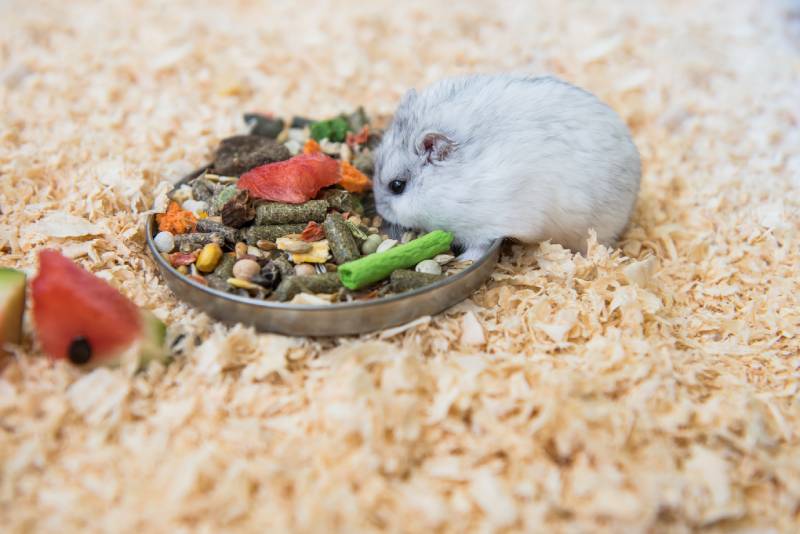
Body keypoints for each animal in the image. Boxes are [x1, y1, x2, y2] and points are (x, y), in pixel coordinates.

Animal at [373, 74, 641, 260]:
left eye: (397, 186)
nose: (379, 210)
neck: (451, 182)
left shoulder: (484, 225)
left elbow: (479, 247)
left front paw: (462, 259)